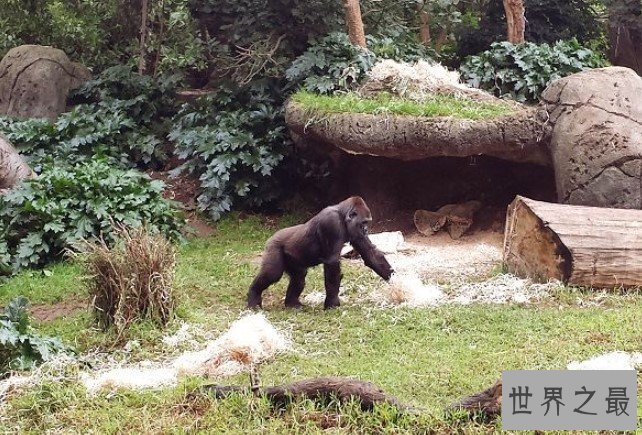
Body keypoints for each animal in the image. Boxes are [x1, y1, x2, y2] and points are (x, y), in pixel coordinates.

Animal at [248, 198, 392, 310]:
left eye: (367, 222)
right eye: (364, 222)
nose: (366, 230)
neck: (342, 215)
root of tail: (272, 237)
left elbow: (369, 253)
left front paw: (391, 277)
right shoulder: (332, 223)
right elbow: (332, 263)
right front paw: (332, 303)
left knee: (299, 277)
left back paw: (292, 304)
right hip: (274, 246)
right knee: (272, 273)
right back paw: (253, 297)